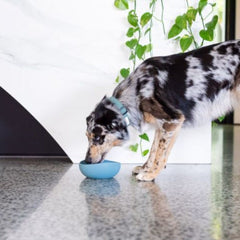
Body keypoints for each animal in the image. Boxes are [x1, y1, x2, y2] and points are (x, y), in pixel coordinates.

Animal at [84, 40, 240, 181]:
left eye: (97, 138)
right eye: (87, 136)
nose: (87, 161)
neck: (136, 90)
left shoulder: (172, 119)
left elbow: (160, 154)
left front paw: (150, 174)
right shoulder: (163, 125)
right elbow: (154, 151)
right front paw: (145, 168)